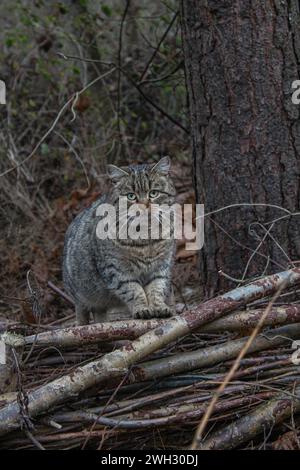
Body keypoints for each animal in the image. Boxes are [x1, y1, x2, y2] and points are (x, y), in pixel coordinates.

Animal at [62, 156, 176, 324]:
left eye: (153, 193)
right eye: (131, 196)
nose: (144, 206)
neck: (146, 238)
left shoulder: (160, 266)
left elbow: (156, 288)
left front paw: (159, 307)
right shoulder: (117, 269)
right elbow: (134, 290)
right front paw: (142, 309)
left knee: (99, 315)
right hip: (79, 293)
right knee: (82, 312)